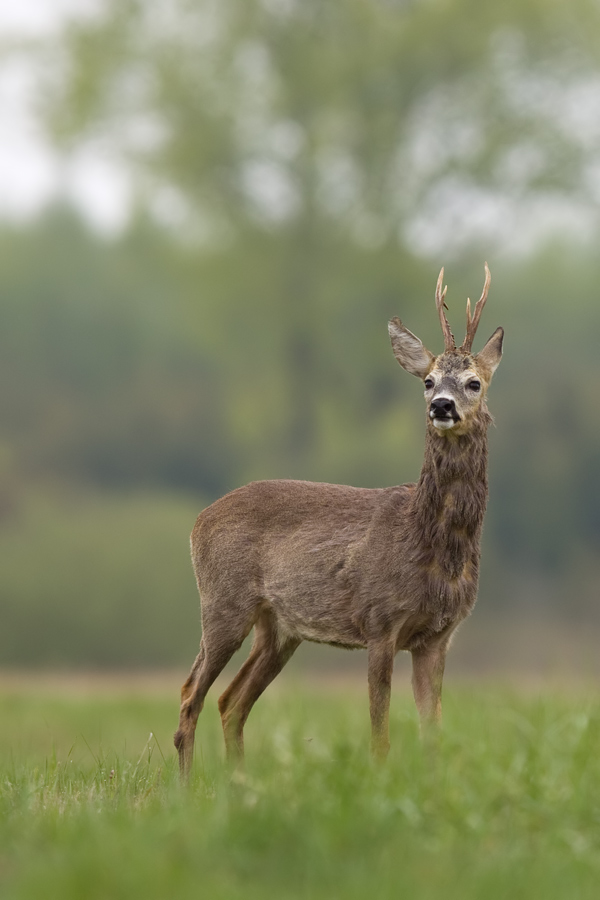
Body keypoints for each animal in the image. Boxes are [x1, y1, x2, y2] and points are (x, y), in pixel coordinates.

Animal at [173, 266, 502, 772]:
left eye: (474, 382)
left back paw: (239, 783)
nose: (441, 406)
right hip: (223, 602)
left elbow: (433, 733)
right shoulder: (379, 620)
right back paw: (189, 787)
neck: (429, 545)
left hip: (279, 628)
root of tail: (198, 521)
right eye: (428, 381)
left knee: (231, 700)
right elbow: (380, 733)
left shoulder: (437, 636)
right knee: (192, 693)